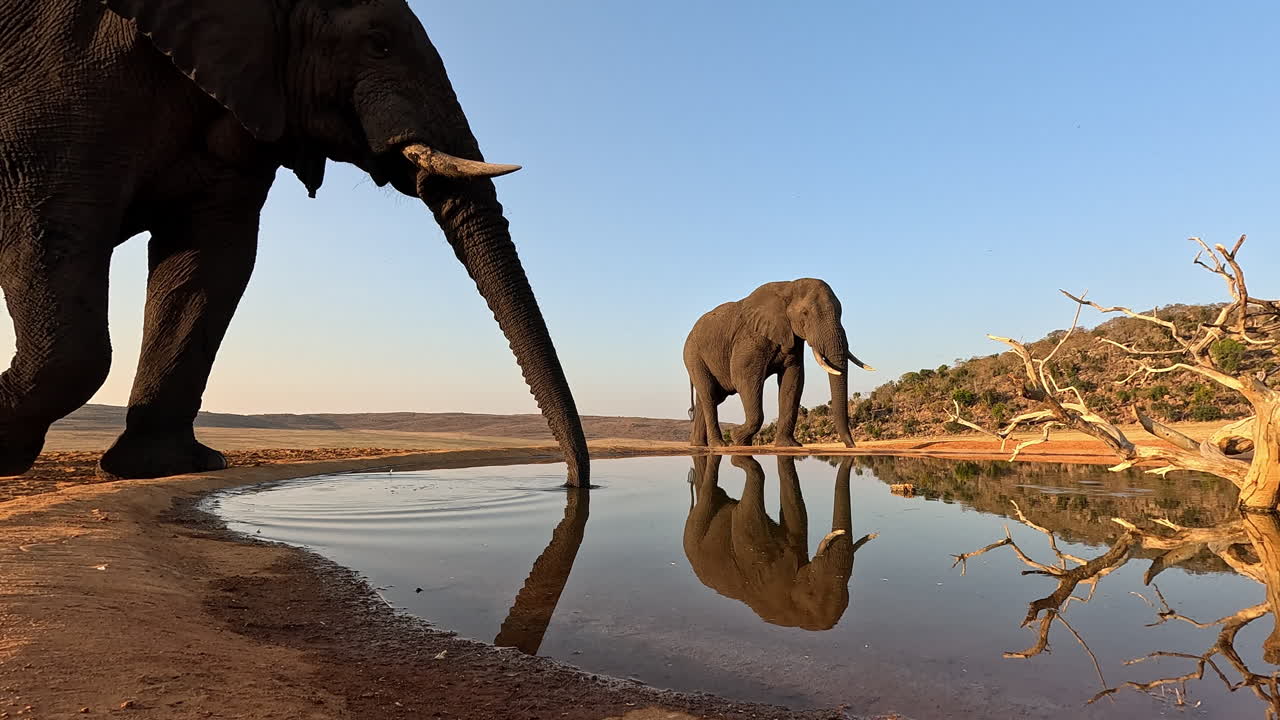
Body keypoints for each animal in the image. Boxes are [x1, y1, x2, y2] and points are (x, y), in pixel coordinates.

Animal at [0, 0, 589, 485]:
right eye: (378, 43)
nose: (574, 485)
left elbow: (210, 263)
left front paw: (162, 468)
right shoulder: (59, 82)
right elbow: (52, 225)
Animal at [684, 278, 873, 448]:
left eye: (840, 313)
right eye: (805, 313)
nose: (852, 446)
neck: (788, 287)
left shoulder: (793, 339)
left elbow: (793, 381)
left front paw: (789, 445)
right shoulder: (750, 338)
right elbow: (744, 379)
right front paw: (738, 438)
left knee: (708, 398)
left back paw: (699, 445)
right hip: (693, 355)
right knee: (709, 395)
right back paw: (719, 445)